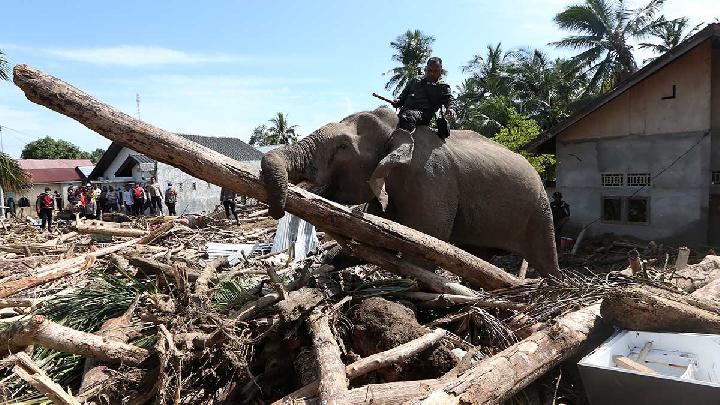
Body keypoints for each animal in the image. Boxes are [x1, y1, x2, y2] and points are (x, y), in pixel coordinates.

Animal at [260, 107, 560, 277]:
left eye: (342, 147)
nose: (275, 210)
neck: (399, 129)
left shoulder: (430, 178)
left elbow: (426, 241)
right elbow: (382, 235)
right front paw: (338, 260)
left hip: (540, 208)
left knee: (546, 257)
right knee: (478, 256)